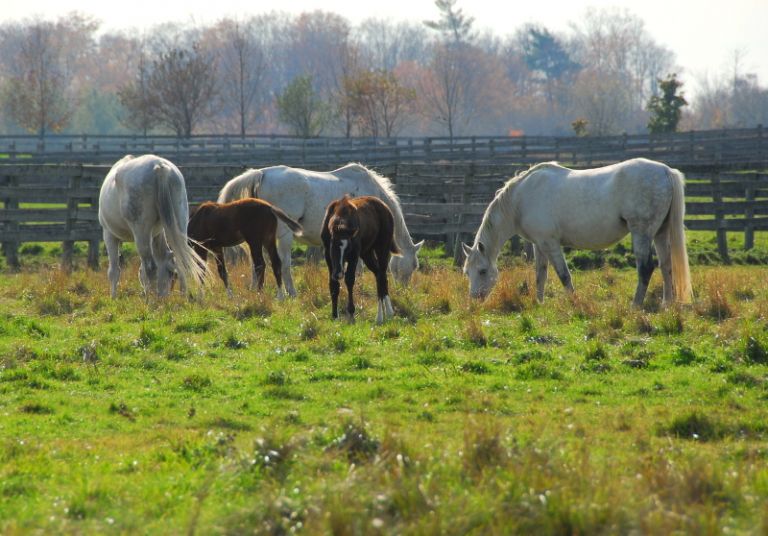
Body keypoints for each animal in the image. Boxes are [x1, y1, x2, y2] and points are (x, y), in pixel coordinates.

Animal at [99, 155, 206, 300]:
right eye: (170, 273)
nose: (164, 297)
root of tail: (159, 167)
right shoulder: (154, 235)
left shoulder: (110, 235)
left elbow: (114, 271)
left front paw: (114, 299)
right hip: (180, 222)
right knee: (181, 262)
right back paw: (184, 298)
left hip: (141, 233)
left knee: (150, 268)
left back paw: (151, 302)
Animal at [217, 163, 423, 297]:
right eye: (415, 265)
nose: (403, 291)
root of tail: (261, 173)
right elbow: (357, 268)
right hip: (285, 234)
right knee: (284, 261)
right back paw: (291, 292)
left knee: (256, 260)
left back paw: (256, 289)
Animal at [321, 195, 402, 324]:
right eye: (333, 246)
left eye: (348, 248)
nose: (339, 273)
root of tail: (385, 207)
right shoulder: (328, 255)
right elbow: (333, 284)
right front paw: (334, 315)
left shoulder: (354, 254)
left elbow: (349, 280)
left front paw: (351, 314)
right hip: (367, 254)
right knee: (380, 274)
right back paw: (387, 313)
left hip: (382, 249)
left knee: (381, 277)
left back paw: (381, 316)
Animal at [462, 158, 692, 308]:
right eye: (467, 272)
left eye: (482, 271)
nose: (474, 300)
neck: (520, 199)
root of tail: (665, 171)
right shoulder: (539, 245)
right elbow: (540, 276)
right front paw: (539, 303)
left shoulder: (550, 243)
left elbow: (564, 275)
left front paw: (573, 302)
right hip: (660, 233)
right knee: (666, 267)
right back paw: (666, 305)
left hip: (641, 233)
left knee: (646, 268)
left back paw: (635, 306)